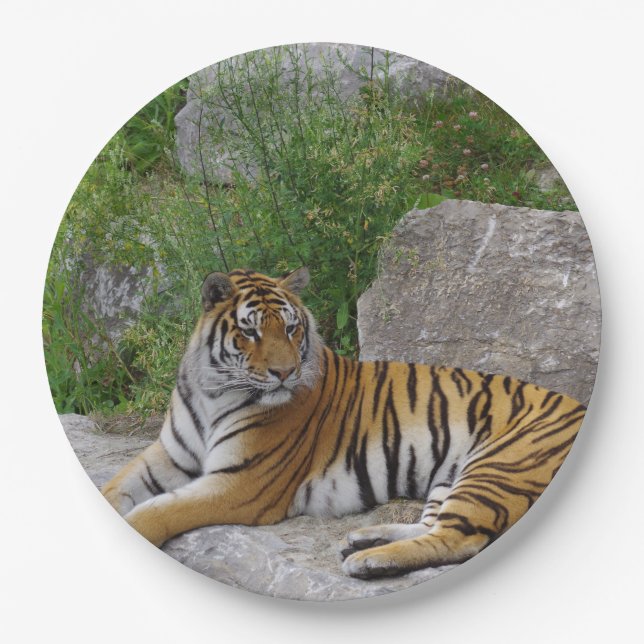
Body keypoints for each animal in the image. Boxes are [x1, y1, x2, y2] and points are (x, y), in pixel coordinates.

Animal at [102, 267, 585, 579]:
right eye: (251, 332)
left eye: (291, 329)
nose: (285, 373)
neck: (212, 392)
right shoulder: (167, 456)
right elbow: (116, 489)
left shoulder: (240, 484)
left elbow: (160, 511)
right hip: (453, 475)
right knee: (433, 525)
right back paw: (366, 539)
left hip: (497, 466)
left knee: (458, 538)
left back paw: (367, 562)